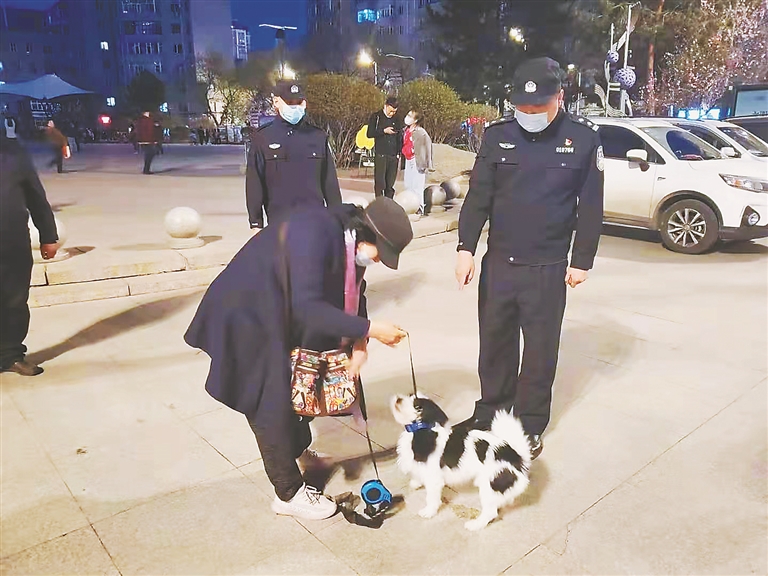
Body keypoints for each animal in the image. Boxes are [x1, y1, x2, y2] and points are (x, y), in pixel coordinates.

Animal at [391, 393, 531, 531]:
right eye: (409, 395)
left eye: (418, 407)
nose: (398, 399)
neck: (420, 430)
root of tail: (516, 457)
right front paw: (416, 483)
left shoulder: (433, 479)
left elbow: (432, 498)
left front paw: (429, 512)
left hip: (489, 486)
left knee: (490, 512)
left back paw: (475, 525)